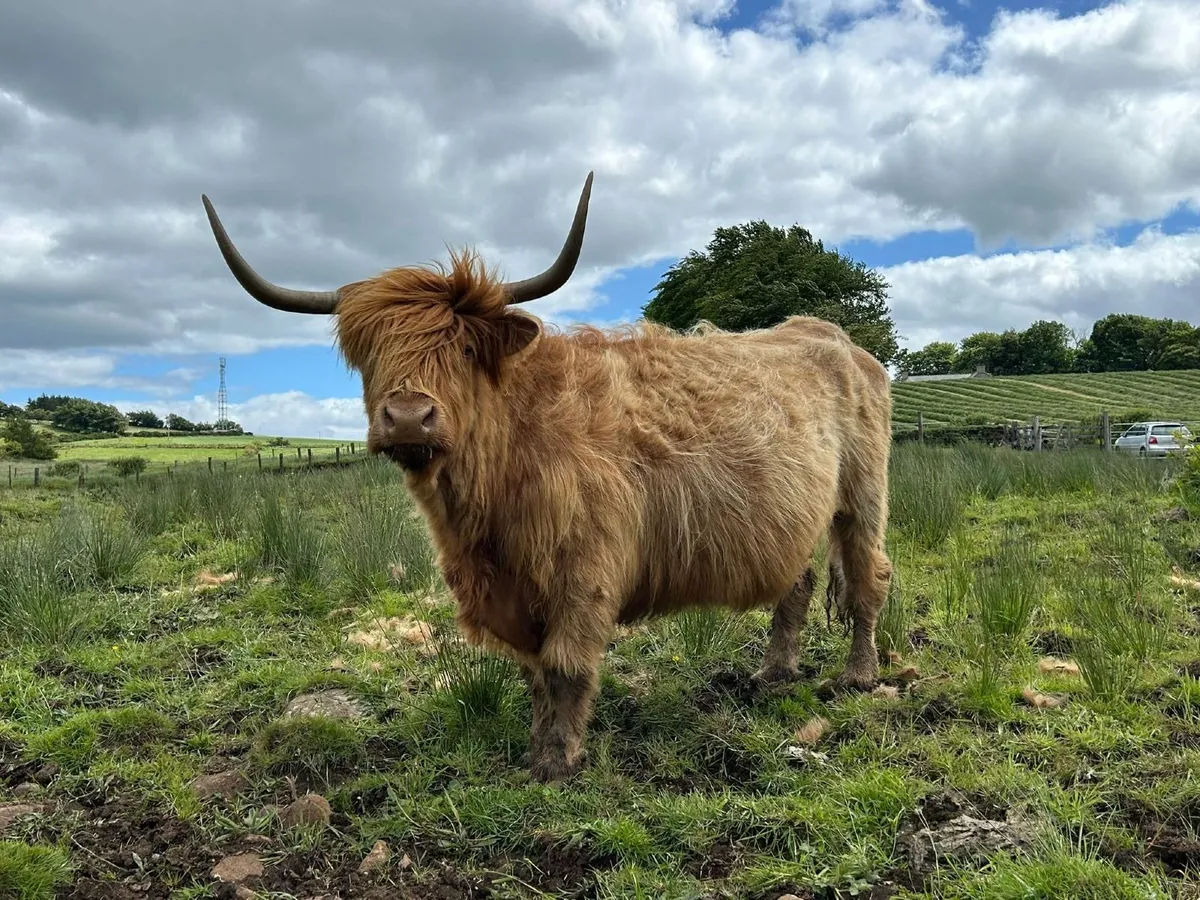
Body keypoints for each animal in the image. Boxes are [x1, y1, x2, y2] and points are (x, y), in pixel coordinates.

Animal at [200, 172, 894, 783]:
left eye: (463, 349)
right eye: (369, 353)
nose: (409, 416)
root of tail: (832, 335)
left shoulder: (585, 570)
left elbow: (564, 667)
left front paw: (557, 762)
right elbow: (535, 673)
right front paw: (538, 746)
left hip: (862, 495)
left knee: (867, 580)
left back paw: (858, 676)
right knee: (796, 586)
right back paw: (775, 673)